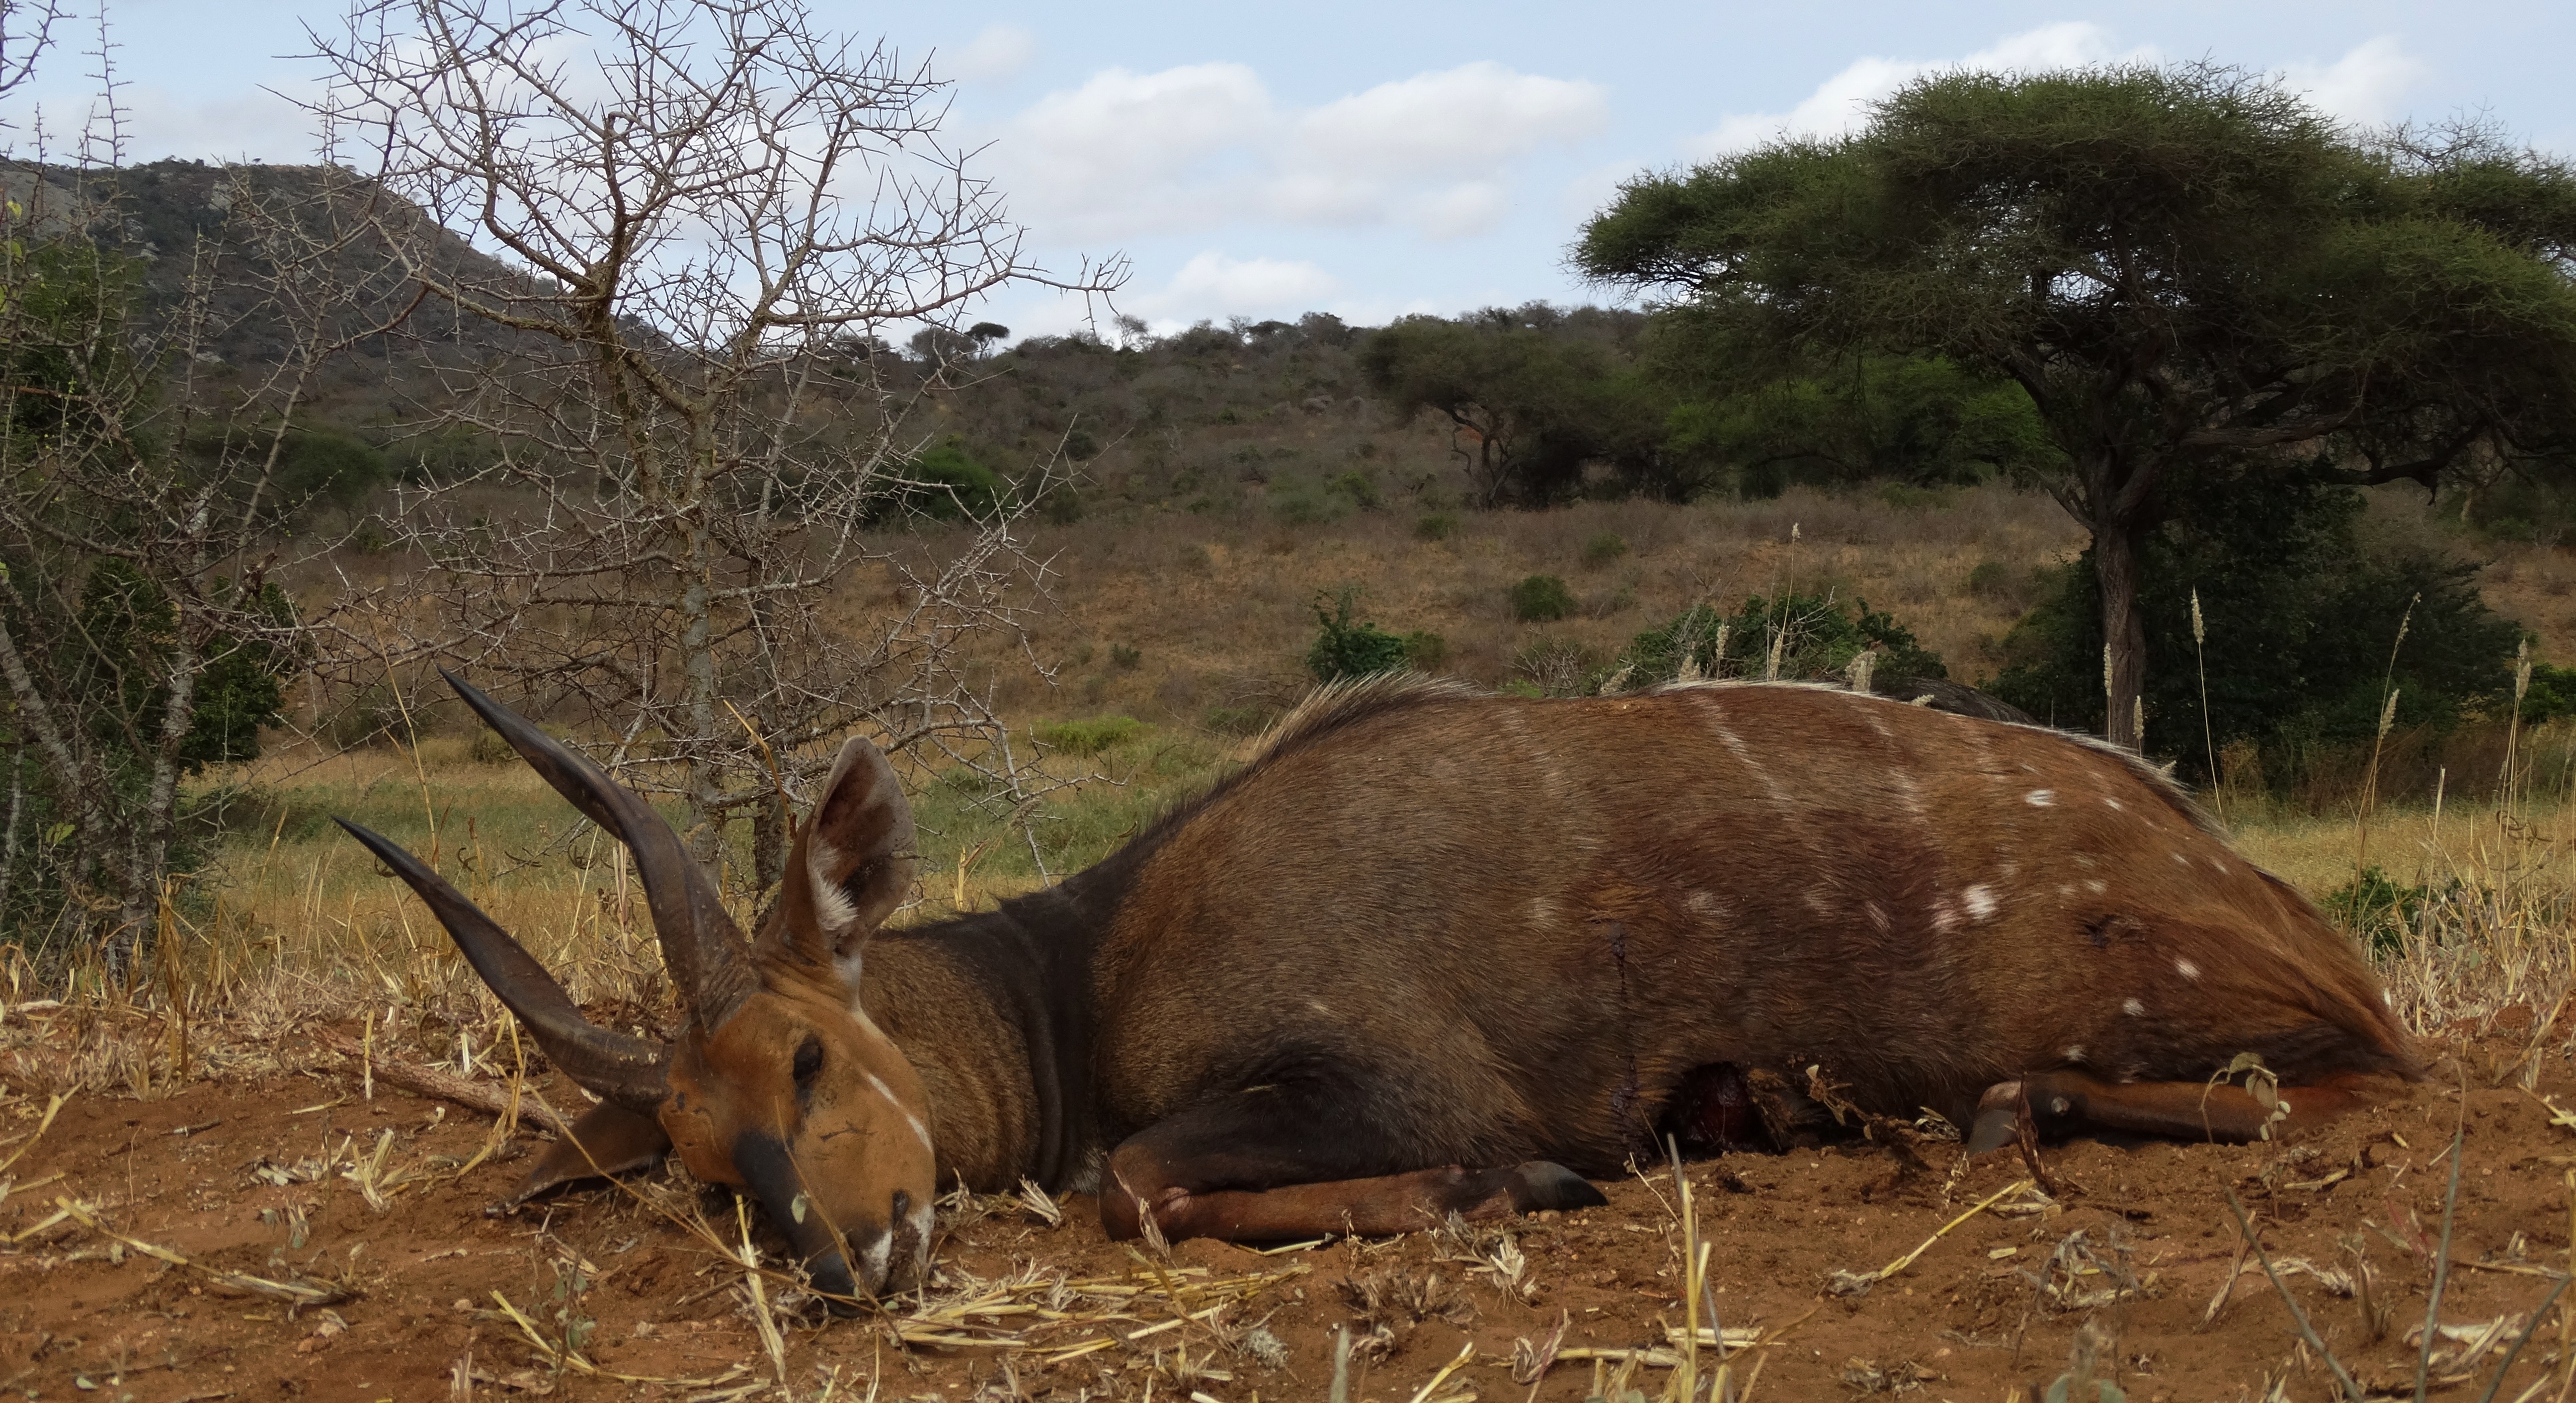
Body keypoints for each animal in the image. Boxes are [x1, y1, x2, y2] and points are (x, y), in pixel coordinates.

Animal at [337, 669, 2411, 1302]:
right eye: (695, 1161)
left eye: (808, 1051)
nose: (845, 1257)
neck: (1092, 966)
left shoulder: (1398, 1084)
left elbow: (1132, 1179)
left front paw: (1537, 1184)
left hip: (2209, 1017)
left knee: (2342, 1080)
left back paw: (1998, 1109)